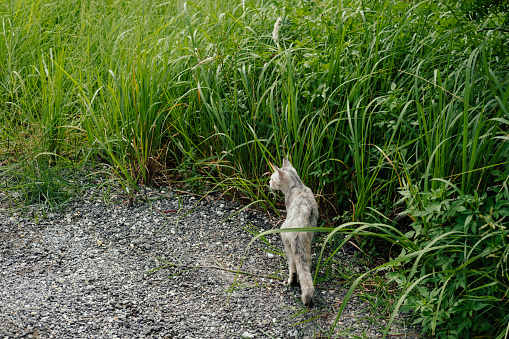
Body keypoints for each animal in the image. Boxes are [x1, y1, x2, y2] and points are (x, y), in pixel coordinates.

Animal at [270, 159, 318, 306]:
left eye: (272, 179)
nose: (268, 183)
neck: (298, 185)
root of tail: (297, 231)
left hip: (287, 246)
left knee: (293, 269)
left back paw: (290, 282)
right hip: (307, 246)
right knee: (306, 267)